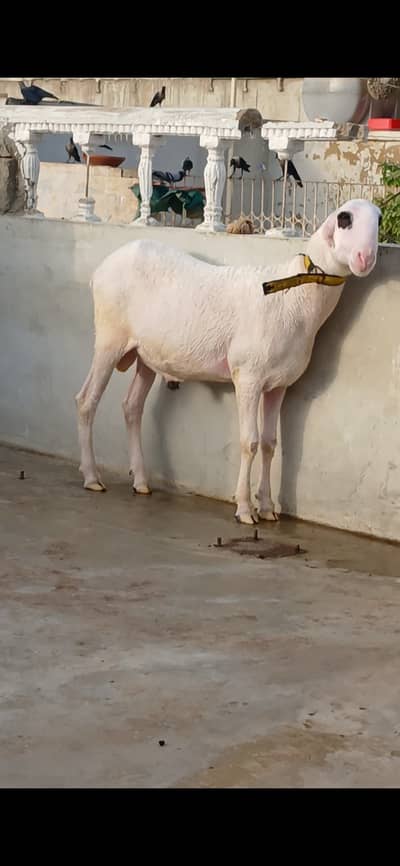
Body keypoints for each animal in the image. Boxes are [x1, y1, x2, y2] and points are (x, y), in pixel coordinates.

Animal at [76, 199, 381, 525]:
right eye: (345, 219)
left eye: (378, 219)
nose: (365, 258)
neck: (293, 296)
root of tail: (103, 266)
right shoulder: (248, 375)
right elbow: (250, 442)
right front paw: (245, 509)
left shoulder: (279, 384)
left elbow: (270, 444)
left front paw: (268, 508)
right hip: (109, 338)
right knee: (87, 400)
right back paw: (92, 476)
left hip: (148, 354)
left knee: (132, 407)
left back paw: (141, 482)